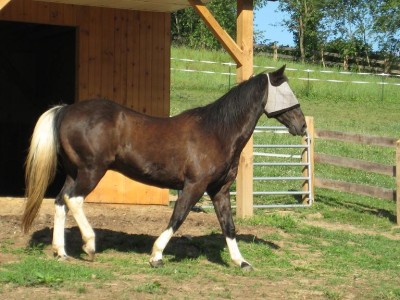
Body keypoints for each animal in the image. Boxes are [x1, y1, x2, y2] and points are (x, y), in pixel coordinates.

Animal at [21, 65, 306, 270]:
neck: (217, 131)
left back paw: (61, 252)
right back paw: (89, 246)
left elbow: (229, 225)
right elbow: (177, 217)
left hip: (74, 172)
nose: (302, 125)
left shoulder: (220, 190)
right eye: (287, 92)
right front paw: (156, 256)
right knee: (74, 200)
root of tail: (66, 110)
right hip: (92, 172)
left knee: (61, 201)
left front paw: (241, 261)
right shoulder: (194, 186)